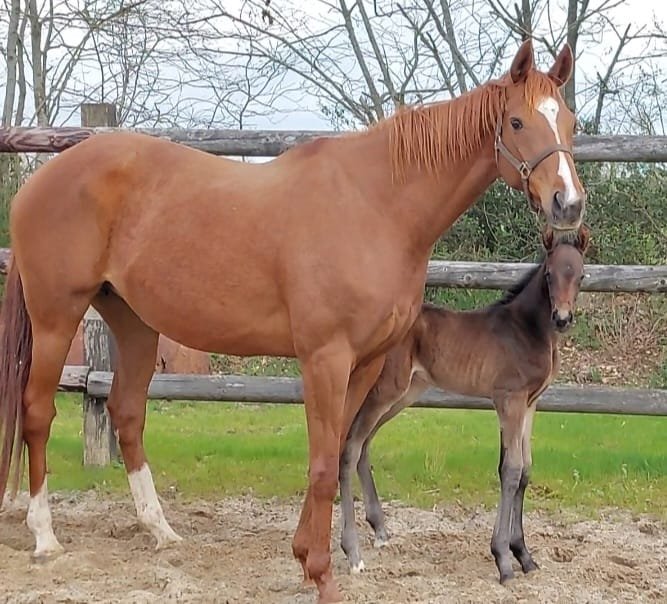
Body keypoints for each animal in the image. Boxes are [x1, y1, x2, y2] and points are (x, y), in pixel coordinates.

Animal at [338, 224, 590, 584]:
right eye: (549, 274)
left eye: (581, 275)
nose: (562, 318)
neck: (527, 330)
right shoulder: (509, 400)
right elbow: (511, 470)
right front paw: (504, 560)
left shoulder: (530, 403)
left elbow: (525, 469)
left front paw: (525, 556)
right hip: (386, 389)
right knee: (350, 447)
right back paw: (353, 553)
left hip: (404, 394)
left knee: (363, 444)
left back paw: (381, 530)